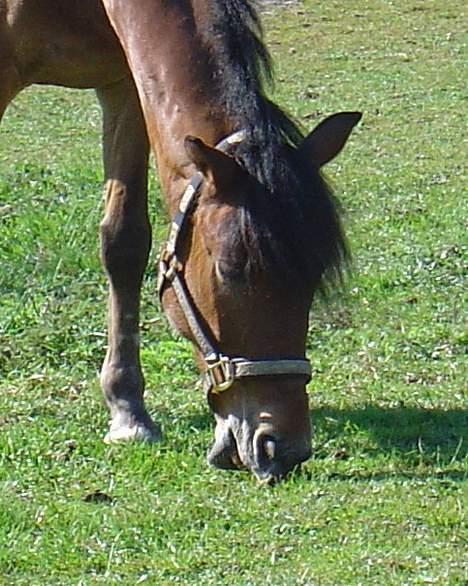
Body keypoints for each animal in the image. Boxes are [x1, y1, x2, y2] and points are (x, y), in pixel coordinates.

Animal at [1, 0, 360, 482]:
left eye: (315, 273)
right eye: (230, 268)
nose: (281, 446)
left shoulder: (127, 84)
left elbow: (124, 243)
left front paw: (128, 411)